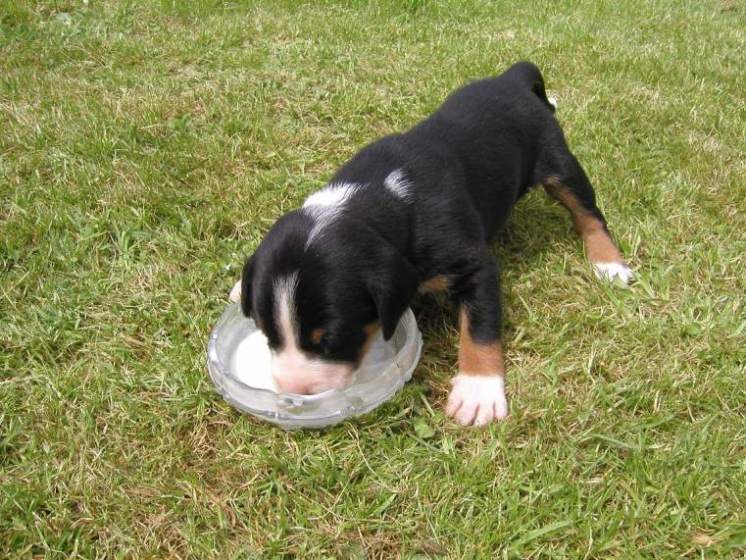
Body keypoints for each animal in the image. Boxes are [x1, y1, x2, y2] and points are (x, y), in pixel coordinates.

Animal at [229, 61, 632, 426]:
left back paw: (608, 262)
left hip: (558, 162)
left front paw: (478, 390)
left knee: (588, 212)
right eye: (266, 333)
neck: (378, 195)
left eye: (329, 339)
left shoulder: (474, 266)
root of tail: (510, 78)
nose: (293, 393)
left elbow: (480, 329)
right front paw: (238, 287)